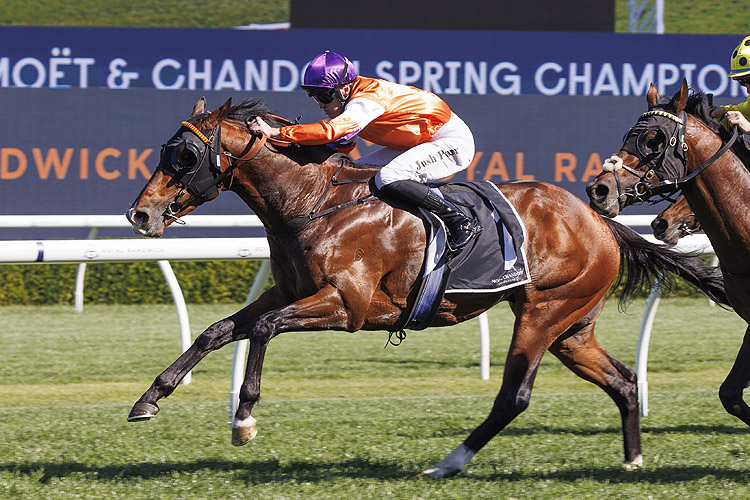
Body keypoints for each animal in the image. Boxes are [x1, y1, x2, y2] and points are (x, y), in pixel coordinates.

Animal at [125, 96, 728, 476]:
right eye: (164, 151)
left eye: (185, 155)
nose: (140, 215)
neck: (312, 202)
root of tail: (598, 218)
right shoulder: (290, 291)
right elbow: (219, 331)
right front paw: (149, 399)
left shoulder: (347, 306)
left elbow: (264, 329)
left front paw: (244, 418)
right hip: (572, 327)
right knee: (623, 380)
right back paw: (632, 459)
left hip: (544, 313)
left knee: (515, 395)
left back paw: (448, 464)